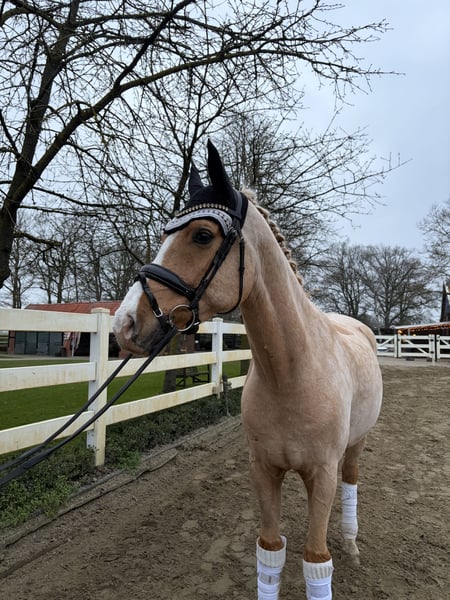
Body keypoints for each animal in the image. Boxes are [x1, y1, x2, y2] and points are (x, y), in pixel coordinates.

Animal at [113, 140, 383, 599]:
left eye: (202, 235)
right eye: (165, 234)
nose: (125, 324)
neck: (291, 374)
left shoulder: (322, 475)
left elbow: (316, 561)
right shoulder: (263, 471)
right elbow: (270, 552)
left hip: (354, 447)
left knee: (351, 483)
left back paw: (351, 541)